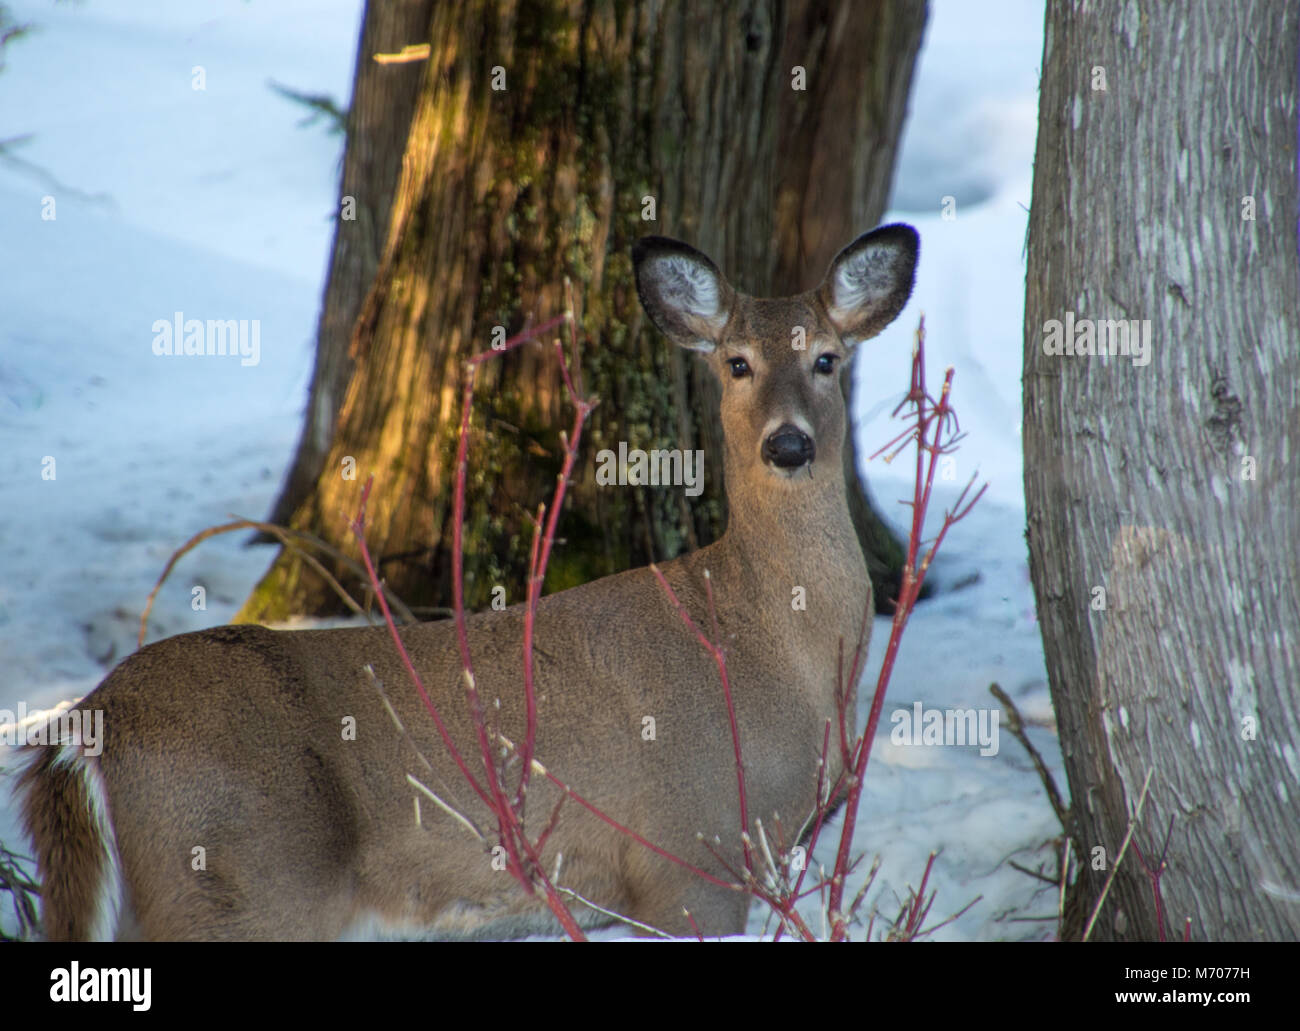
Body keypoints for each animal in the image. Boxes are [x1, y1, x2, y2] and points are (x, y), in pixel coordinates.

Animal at [15, 221, 920, 936]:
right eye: (736, 363)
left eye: (829, 360)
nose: (789, 443)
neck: (774, 646)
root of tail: (87, 726)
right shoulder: (688, 851)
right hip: (239, 880)